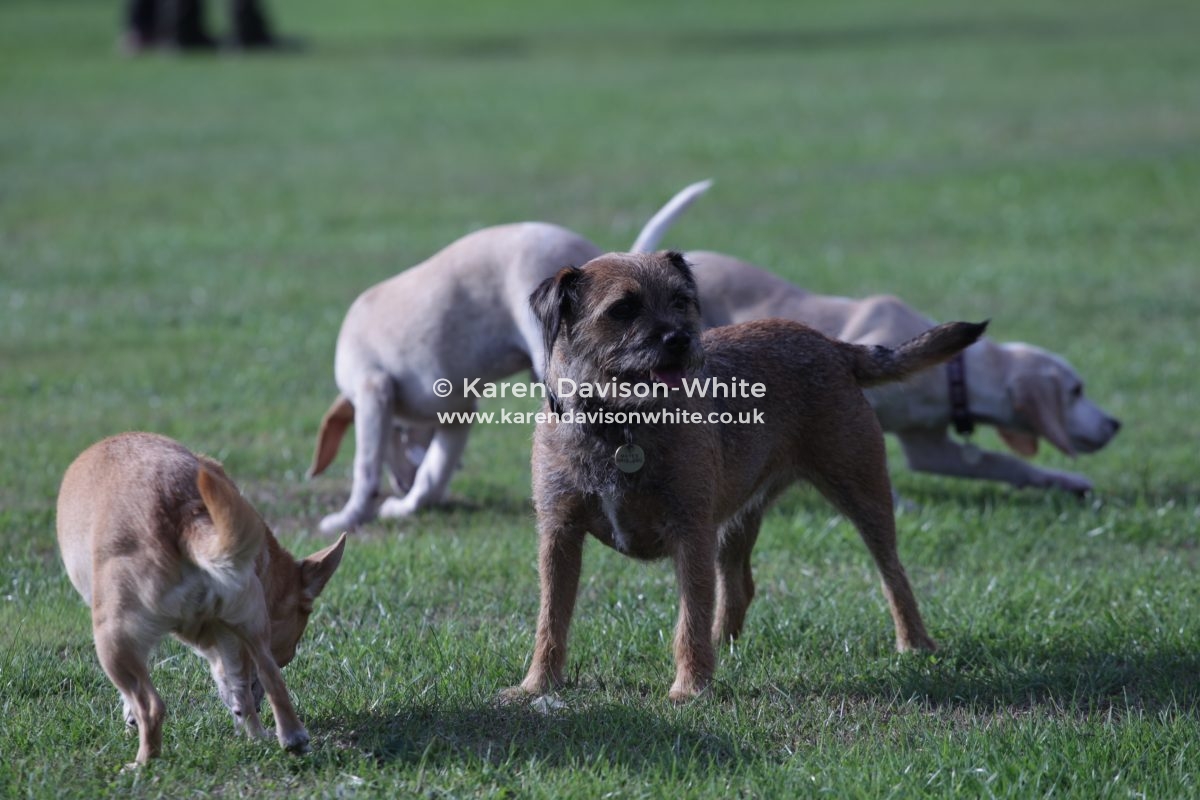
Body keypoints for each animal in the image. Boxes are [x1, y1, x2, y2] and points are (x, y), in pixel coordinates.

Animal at [56, 432, 347, 766]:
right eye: (287, 655)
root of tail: (186, 513)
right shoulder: (234, 644)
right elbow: (244, 681)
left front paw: (129, 717)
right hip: (249, 620)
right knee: (271, 676)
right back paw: (287, 736)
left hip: (112, 640)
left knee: (151, 707)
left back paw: (142, 764)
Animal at [308, 180, 711, 534]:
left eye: (398, 432)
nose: (400, 486)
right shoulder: (459, 413)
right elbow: (433, 471)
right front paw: (409, 505)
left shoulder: (372, 391)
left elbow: (366, 466)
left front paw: (348, 518)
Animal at [502, 251, 985, 702]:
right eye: (622, 309)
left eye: (682, 301)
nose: (680, 339)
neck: (621, 424)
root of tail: (832, 344)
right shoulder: (560, 533)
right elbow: (551, 618)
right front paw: (537, 685)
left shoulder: (690, 531)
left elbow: (690, 616)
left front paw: (690, 689)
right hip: (736, 518)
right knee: (739, 586)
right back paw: (724, 646)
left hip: (862, 491)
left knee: (893, 574)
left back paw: (915, 644)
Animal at [688, 251, 1120, 494]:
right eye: (1076, 390)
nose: (1115, 424)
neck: (950, 377)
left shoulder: (930, 448)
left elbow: (1004, 462)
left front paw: (1064, 482)